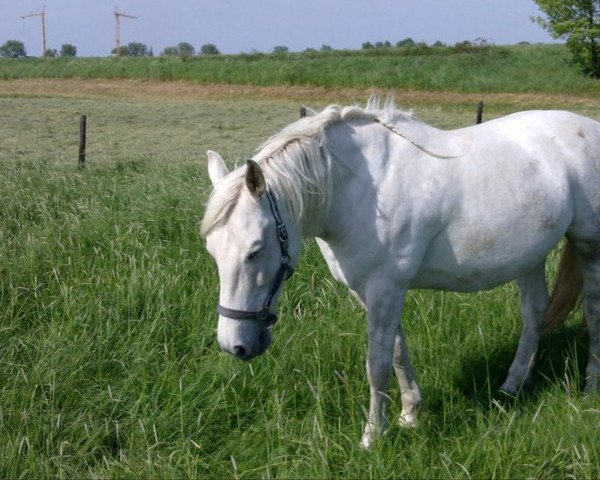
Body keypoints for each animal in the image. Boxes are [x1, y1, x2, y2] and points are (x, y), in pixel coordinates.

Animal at [200, 99, 600, 448]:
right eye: (213, 252)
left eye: (255, 250)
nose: (235, 345)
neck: (360, 189)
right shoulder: (370, 292)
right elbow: (396, 351)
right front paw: (410, 415)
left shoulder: (384, 289)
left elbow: (376, 364)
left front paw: (372, 436)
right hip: (529, 257)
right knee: (535, 314)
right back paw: (512, 385)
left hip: (588, 246)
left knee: (592, 313)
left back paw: (590, 387)